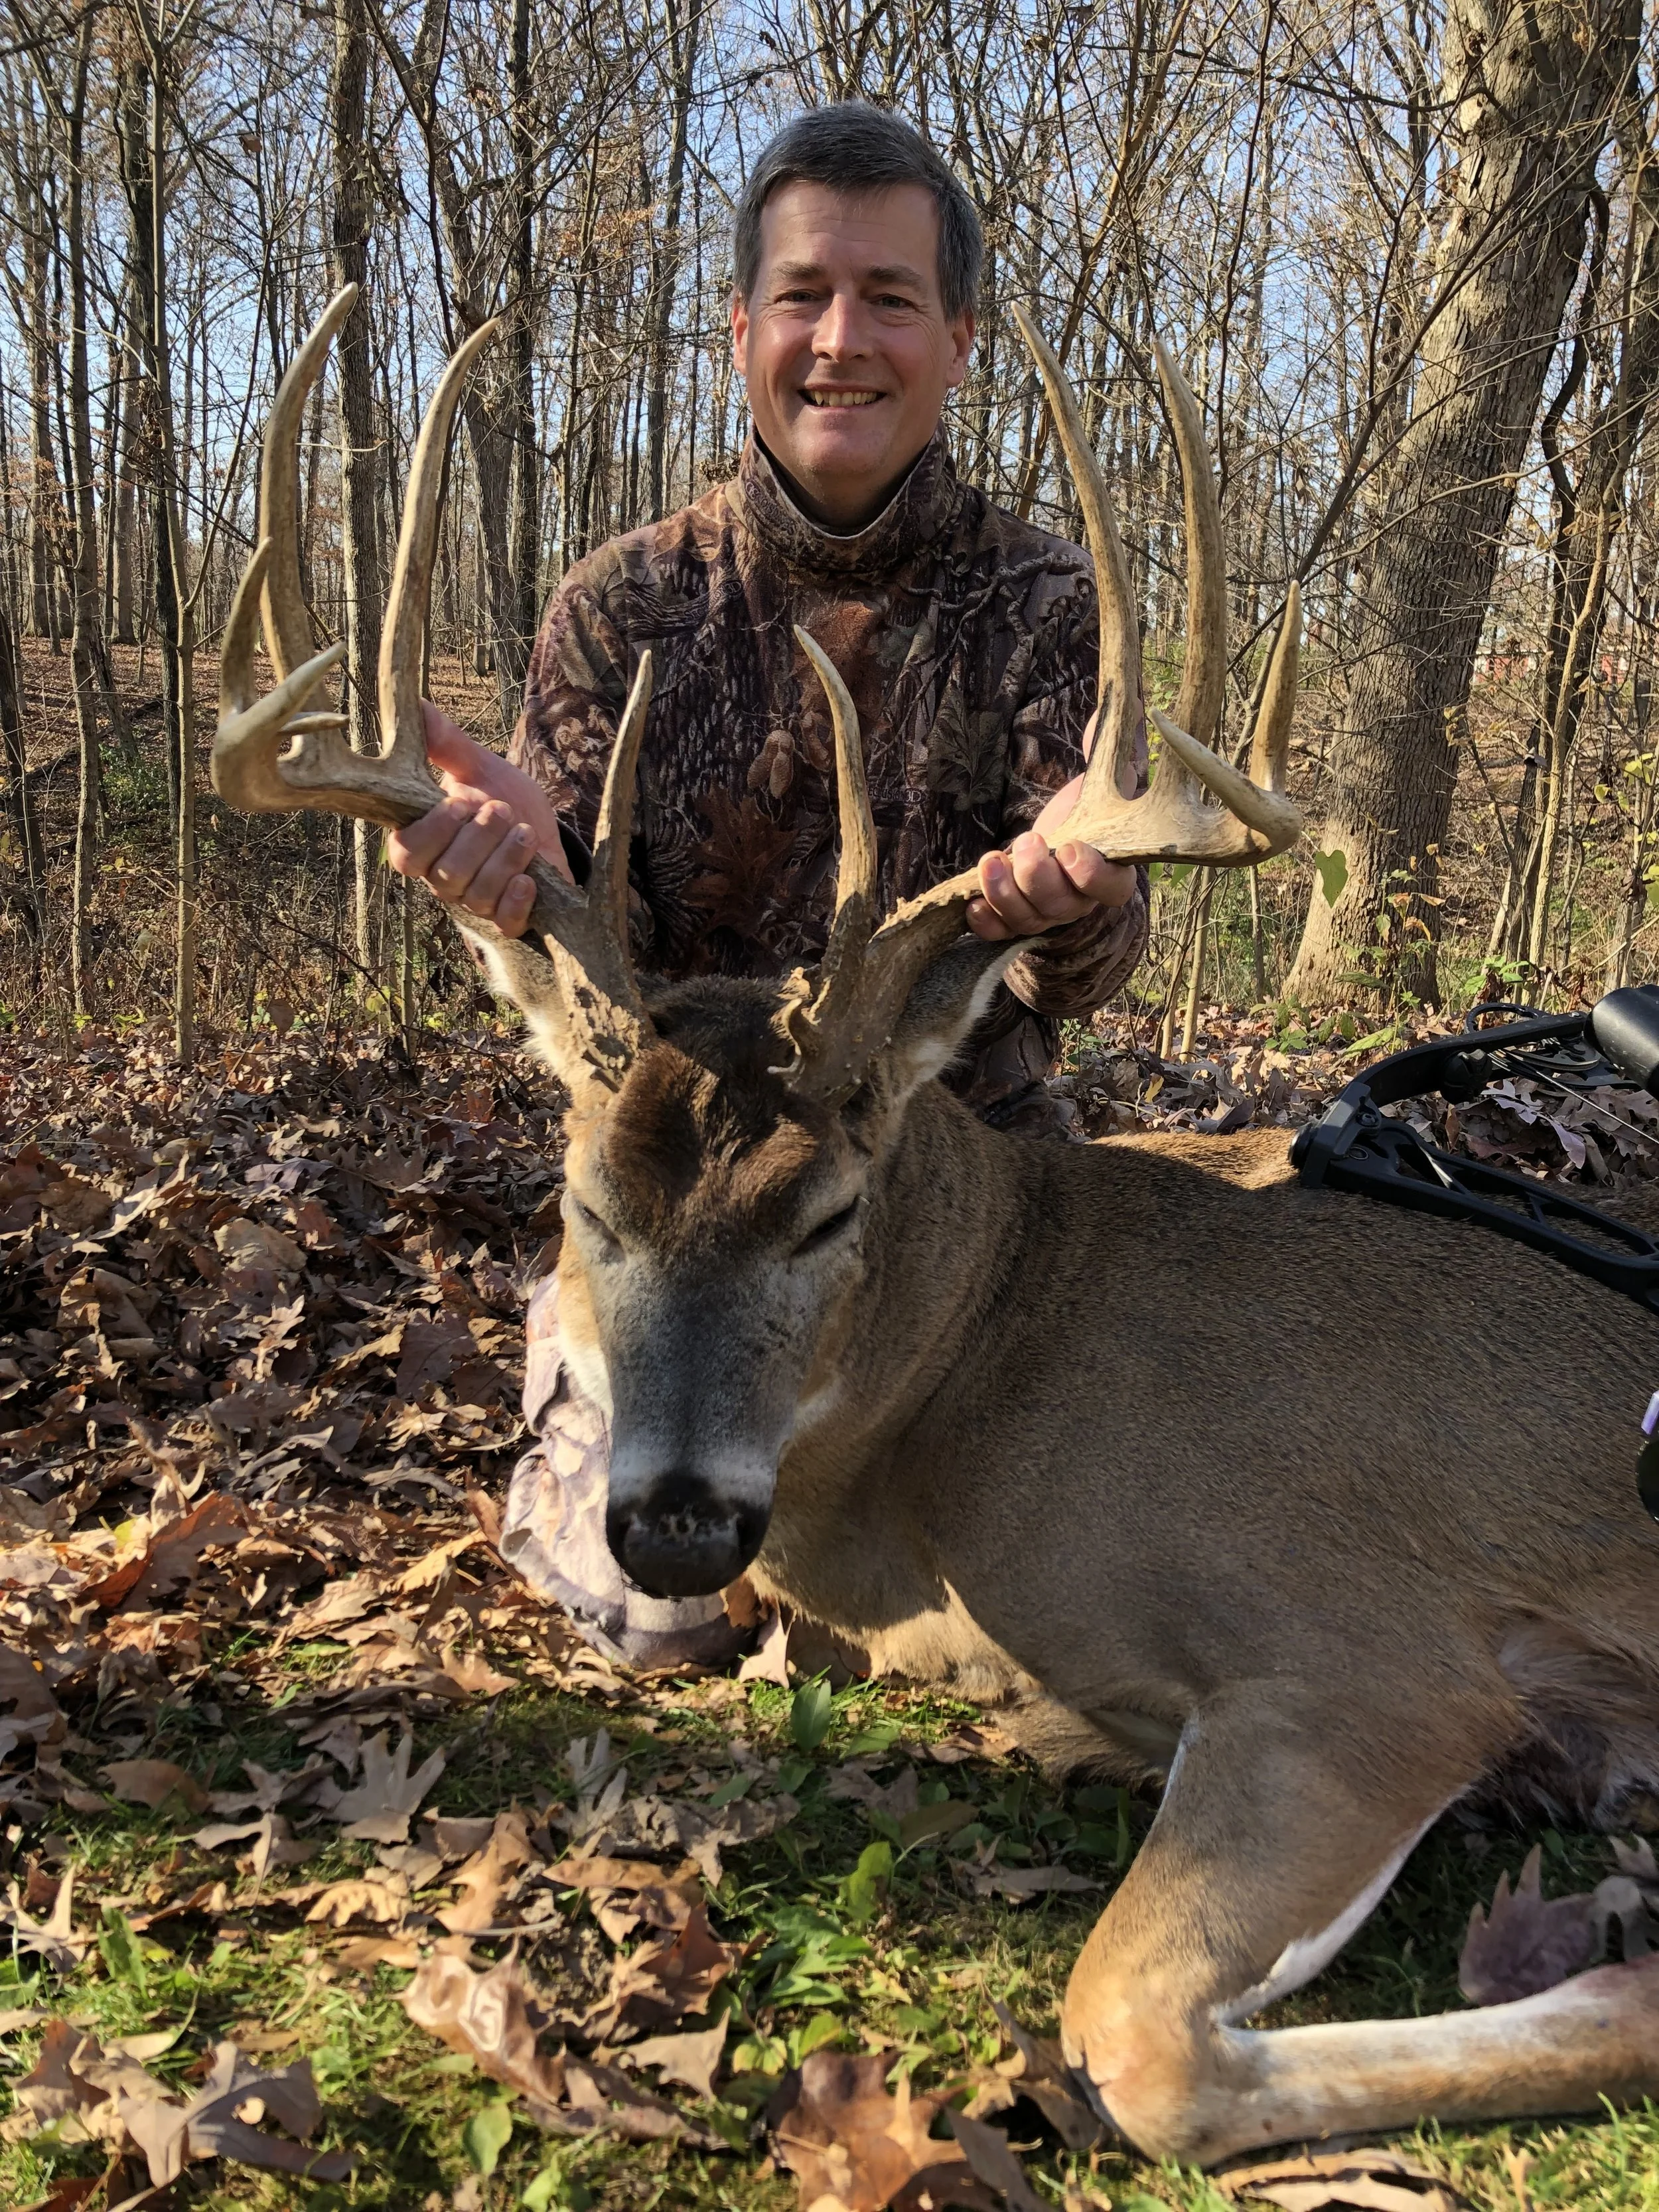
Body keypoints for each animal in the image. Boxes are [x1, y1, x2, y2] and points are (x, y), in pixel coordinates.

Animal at [214, 287, 1659, 2168]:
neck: (978, 1373)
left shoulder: (1382, 1656)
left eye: (828, 1210)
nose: (673, 1526)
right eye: (586, 1204)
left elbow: (1136, 2034)